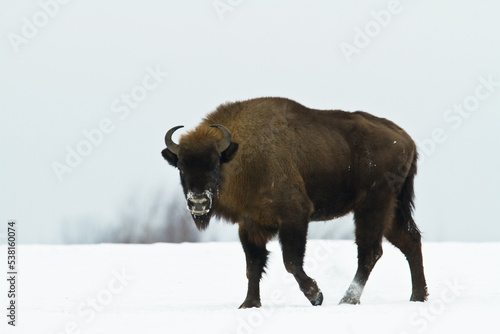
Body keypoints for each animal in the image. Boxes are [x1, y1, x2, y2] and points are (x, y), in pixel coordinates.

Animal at [162, 96, 428, 308]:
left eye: (215, 164)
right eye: (182, 166)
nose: (198, 202)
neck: (240, 153)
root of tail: (406, 140)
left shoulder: (294, 216)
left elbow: (290, 261)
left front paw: (316, 296)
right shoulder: (250, 225)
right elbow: (253, 266)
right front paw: (249, 304)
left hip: (372, 206)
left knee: (370, 251)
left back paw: (348, 300)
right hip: (391, 209)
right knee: (410, 241)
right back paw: (418, 297)